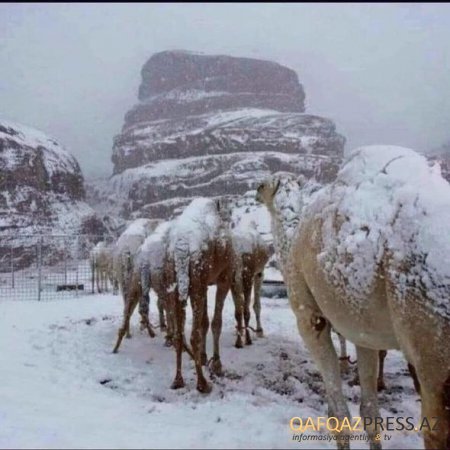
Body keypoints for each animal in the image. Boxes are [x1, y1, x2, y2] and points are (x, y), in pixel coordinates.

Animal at [256, 146, 450, 448]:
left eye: (262, 186)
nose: (254, 191)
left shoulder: (309, 317)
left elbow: (338, 413)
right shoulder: (362, 329)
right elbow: (370, 412)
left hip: (429, 334)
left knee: (435, 428)